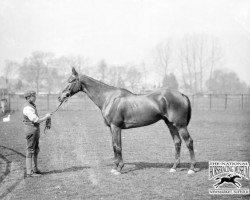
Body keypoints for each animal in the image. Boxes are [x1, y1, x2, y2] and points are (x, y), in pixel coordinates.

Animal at [58, 67, 195, 175]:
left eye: (71, 81)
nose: (60, 96)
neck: (109, 98)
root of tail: (181, 94)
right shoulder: (112, 128)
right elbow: (114, 146)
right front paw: (115, 168)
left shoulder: (116, 127)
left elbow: (118, 147)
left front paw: (119, 169)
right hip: (170, 124)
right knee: (177, 142)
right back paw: (174, 168)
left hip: (180, 125)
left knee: (189, 142)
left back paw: (191, 169)